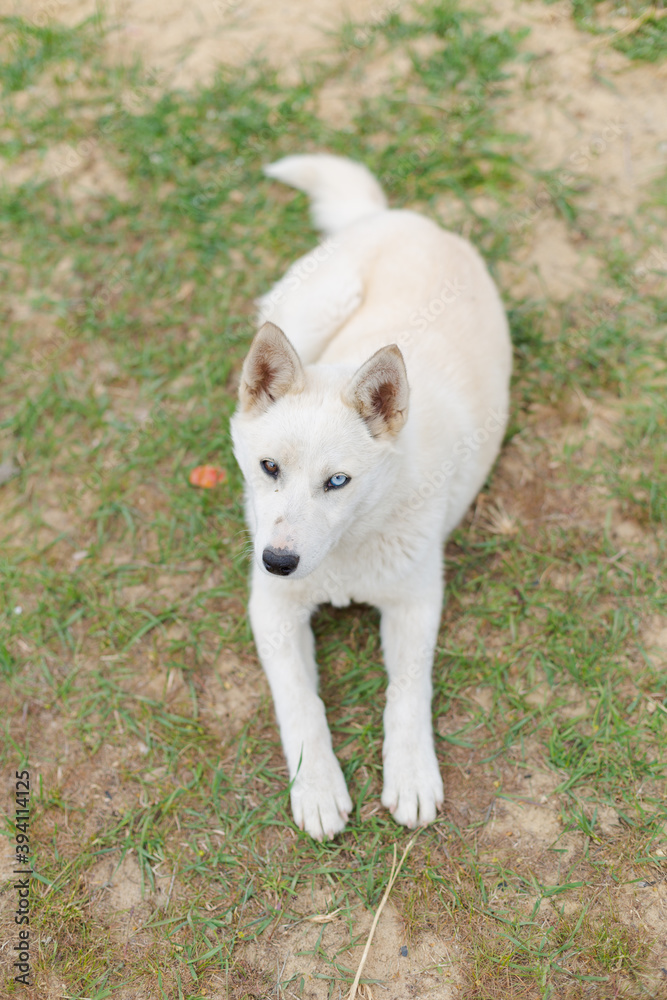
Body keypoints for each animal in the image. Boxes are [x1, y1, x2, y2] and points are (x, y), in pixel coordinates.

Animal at [230, 152, 512, 840]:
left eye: (338, 481)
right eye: (269, 467)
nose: (277, 561)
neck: (346, 548)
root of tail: (405, 218)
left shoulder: (415, 602)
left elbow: (407, 693)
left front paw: (409, 773)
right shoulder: (273, 610)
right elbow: (300, 701)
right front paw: (316, 787)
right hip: (313, 306)